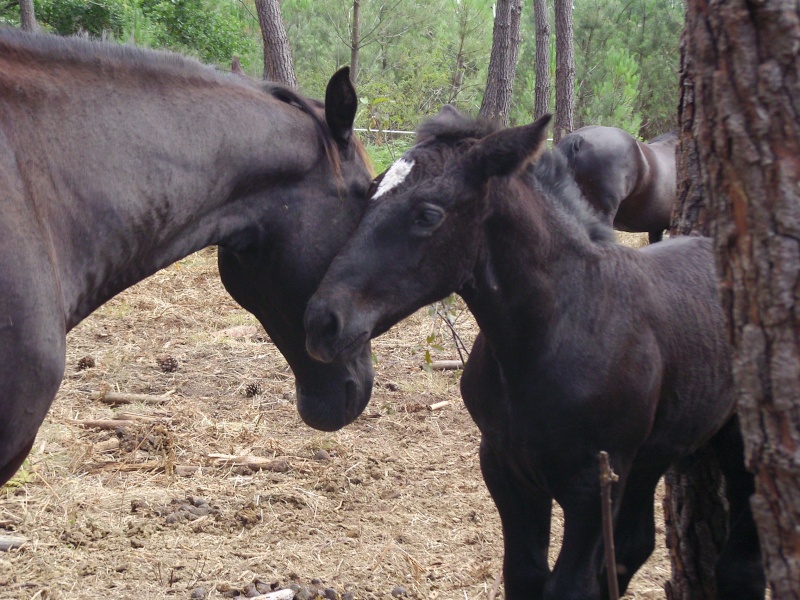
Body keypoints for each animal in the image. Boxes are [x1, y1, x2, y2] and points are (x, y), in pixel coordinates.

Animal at [304, 109, 764, 600]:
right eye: (369, 195)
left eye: (428, 214)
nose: (322, 322)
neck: (547, 335)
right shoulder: (506, 468)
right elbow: (524, 575)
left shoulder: (591, 487)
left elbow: (570, 585)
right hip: (652, 455)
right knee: (635, 544)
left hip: (732, 441)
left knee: (739, 560)